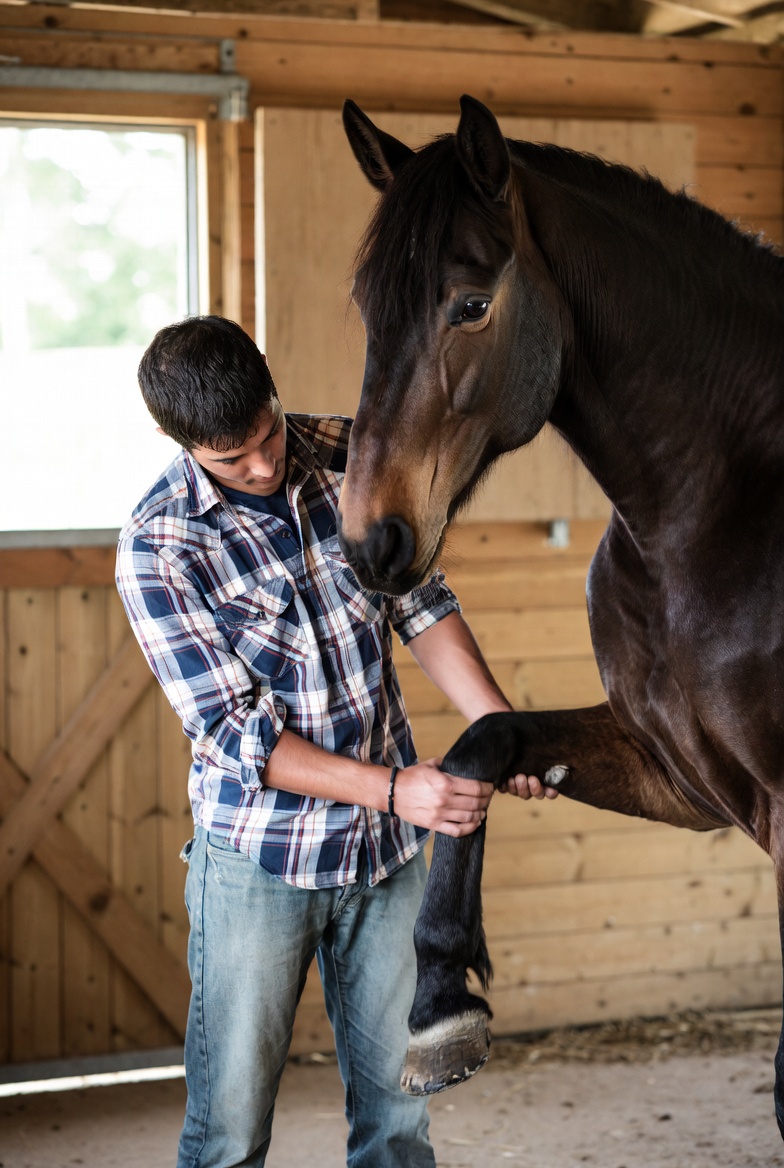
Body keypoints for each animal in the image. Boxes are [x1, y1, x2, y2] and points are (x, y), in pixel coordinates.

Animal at [337, 94, 784, 1135]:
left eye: (470, 304)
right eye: (367, 307)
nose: (369, 540)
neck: (716, 507)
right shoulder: (680, 774)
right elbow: (485, 740)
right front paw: (439, 1003)